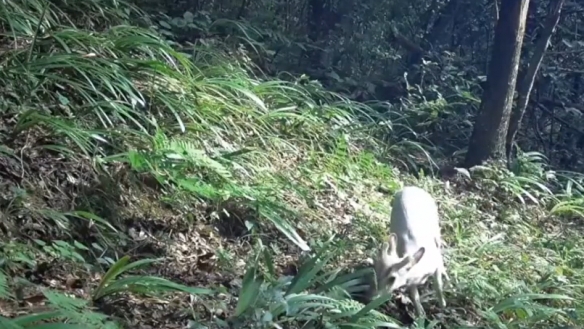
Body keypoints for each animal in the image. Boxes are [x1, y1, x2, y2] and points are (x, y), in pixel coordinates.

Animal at [370, 184, 448, 316]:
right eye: (376, 271)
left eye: (392, 278)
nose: (372, 297)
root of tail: (411, 187)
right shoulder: (410, 281)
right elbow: (414, 296)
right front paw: (420, 314)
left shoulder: (435, 264)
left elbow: (438, 285)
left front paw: (443, 304)